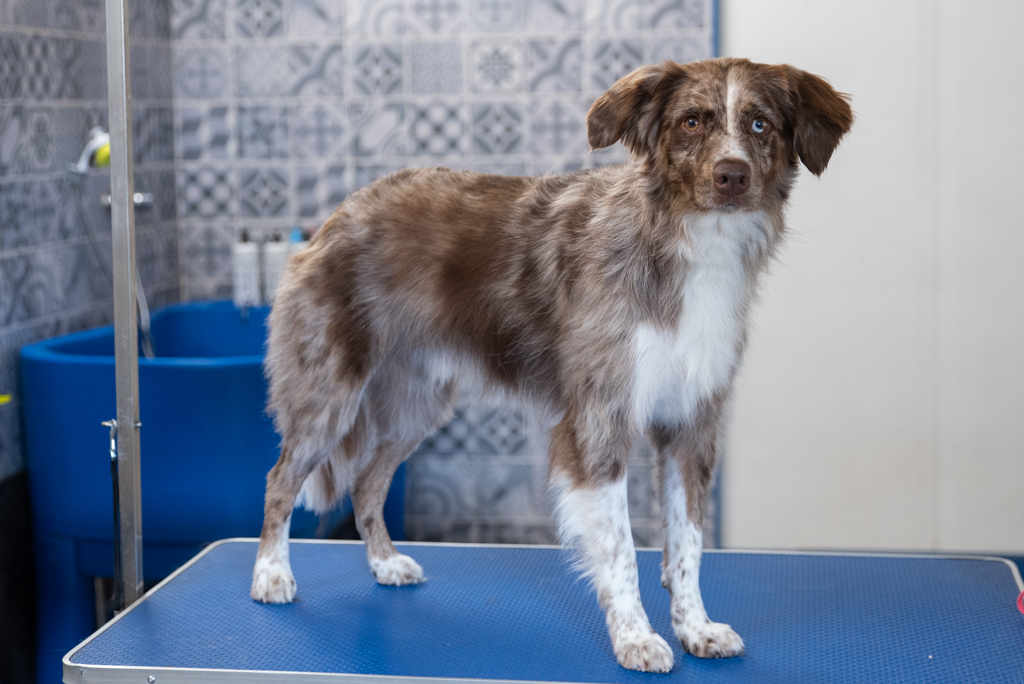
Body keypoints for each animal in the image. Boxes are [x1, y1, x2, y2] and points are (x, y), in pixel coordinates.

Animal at [251, 54, 851, 671]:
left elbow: (688, 544)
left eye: (760, 124)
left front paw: (696, 627)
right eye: (691, 122)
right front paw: (636, 638)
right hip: (329, 396)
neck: (686, 243)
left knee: (368, 482)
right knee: (281, 478)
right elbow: (620, 549)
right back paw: (271, 574)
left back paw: (385, 563)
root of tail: (340, 212)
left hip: (413, 407)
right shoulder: (598, 423)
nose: (731, 175)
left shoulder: (691, 426)